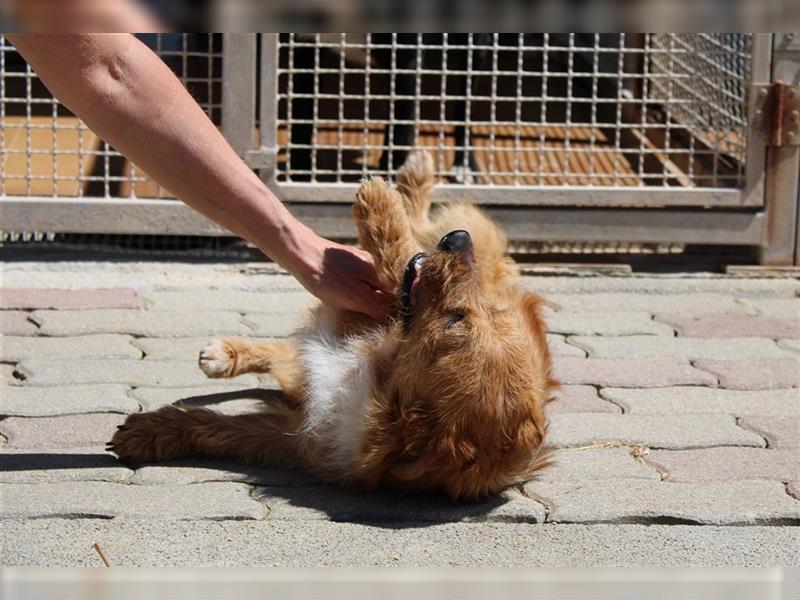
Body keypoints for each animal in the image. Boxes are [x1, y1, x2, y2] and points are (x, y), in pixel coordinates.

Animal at [108, 151, 556, 502]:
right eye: (485, 312)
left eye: (454, 320)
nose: (458, 240)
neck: (379, 380)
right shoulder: (376, 313)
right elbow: (401, 258)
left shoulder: (300, 435)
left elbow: (223, 429)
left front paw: (150, 430)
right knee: (417, 229)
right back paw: (413, 178)